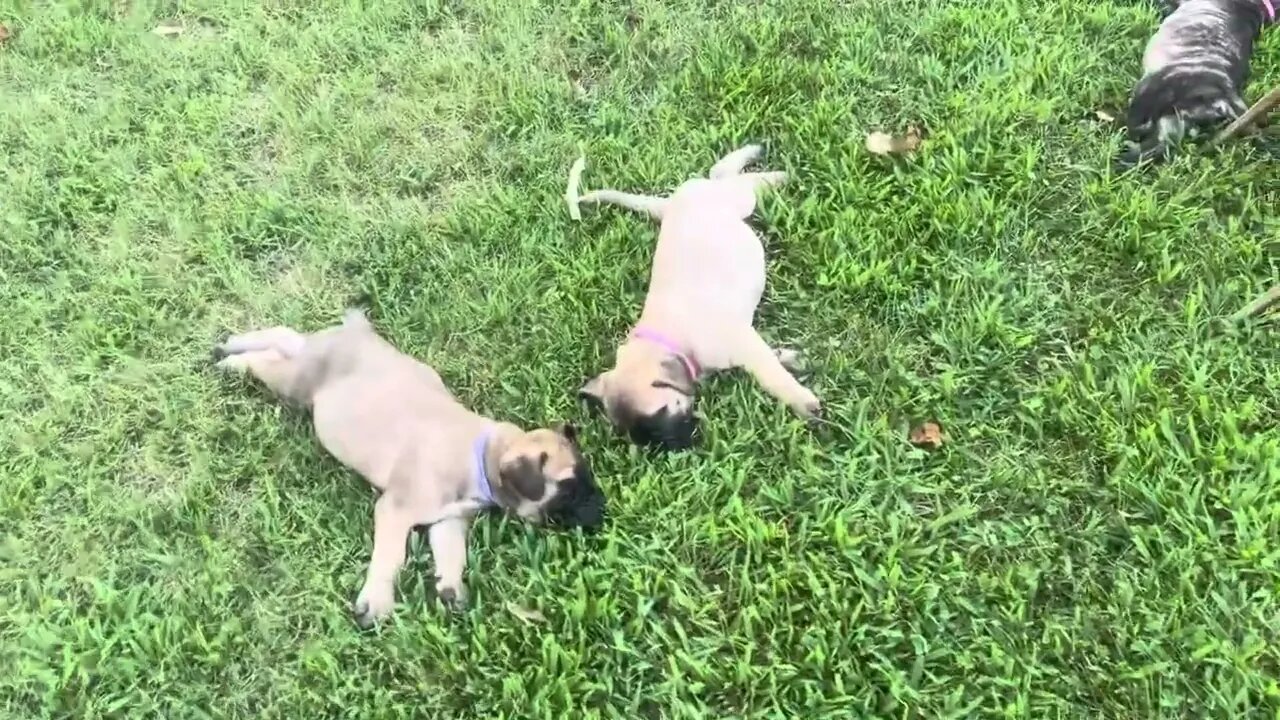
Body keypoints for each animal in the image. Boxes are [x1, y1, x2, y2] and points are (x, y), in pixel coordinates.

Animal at [578, 143, 819, 448]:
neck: (670, 338)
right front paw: (790, 358)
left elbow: (773, 377)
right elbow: (770, 358)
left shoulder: (742, 343)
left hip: (737, 199)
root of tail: (671, 203)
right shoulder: (746, 343)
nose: (673, 450)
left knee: (726, 176)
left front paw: (802, 401)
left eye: (661, 414)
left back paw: (772, 171)